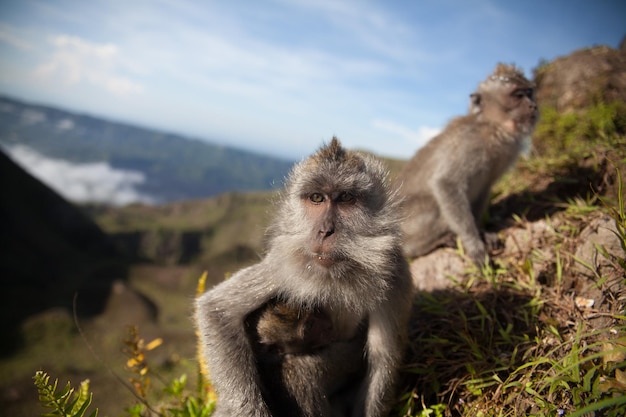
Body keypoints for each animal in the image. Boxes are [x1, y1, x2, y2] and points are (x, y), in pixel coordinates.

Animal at [193, 137, 412, 416]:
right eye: (317, 198)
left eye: (346, 198)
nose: (325, 231)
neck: (336, 273)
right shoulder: (283, 262)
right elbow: (217, 311)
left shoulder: (396, 275)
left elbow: (382, 359)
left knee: (301, 368)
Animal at [394, 62, 536, 264]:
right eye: (517, 95)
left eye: (529, 93)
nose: (533, 106)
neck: (492, 128)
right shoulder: (469, 143)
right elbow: (446, 183)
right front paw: (474, 243)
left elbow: (485, 188)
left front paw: (482, 232)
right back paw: (419, 247)